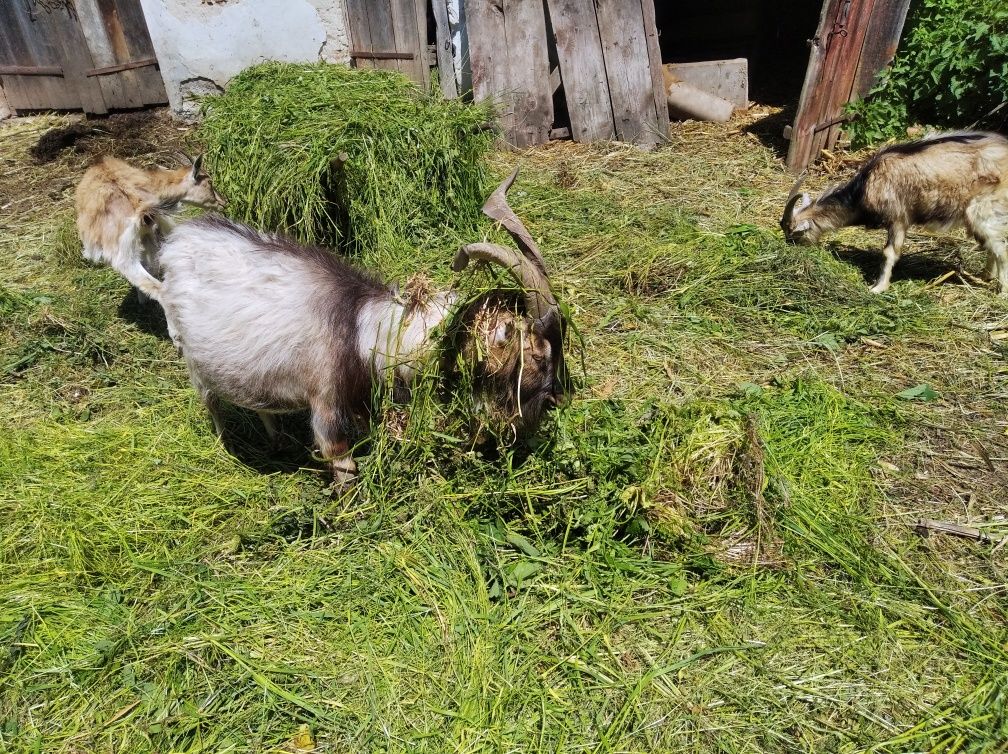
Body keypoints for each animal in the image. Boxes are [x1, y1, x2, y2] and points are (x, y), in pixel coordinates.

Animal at [157, 168, 568, 479]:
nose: (556, 400)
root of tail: (180, 237)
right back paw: (223, 446)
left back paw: (275, 440)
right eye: (537, 356)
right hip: (189, 354)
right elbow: (343, 464)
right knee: (210, 401)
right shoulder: (326, 405)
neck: (360, 328)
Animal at [778, 130, 1008, 294]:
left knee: (1000, 248)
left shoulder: (898, 218)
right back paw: (986, 277)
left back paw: (1001, 292)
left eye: (794, 235)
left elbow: (889, 252)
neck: (863, 189)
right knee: (990, 245)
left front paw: (877, 288)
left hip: (983, 208)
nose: (788, 248)